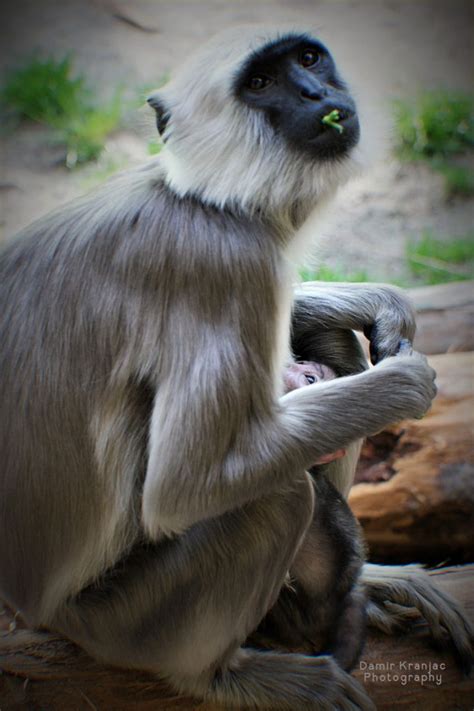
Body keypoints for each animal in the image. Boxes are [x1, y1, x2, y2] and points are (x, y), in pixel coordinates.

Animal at [1, 25, 472, 708]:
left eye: (309, 60)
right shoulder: (225, 261)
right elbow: (184, 487)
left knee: (332, 342)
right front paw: (407, 384)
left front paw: (381, 302)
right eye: (261, 83)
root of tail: (28, 605)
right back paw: (222, 675)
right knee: (276, 492)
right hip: (118, 619)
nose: (317, 94)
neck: (198, 195)